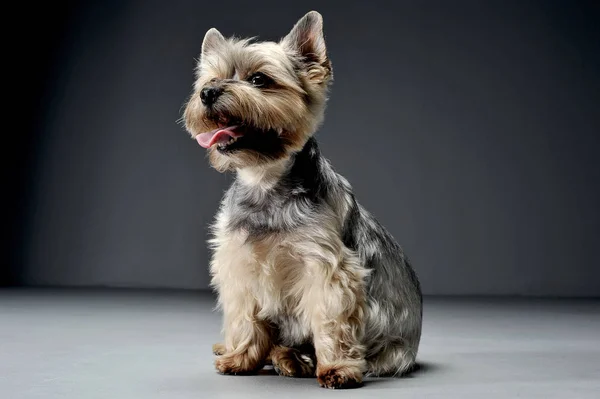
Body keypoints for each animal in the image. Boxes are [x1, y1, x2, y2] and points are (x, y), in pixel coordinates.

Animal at [183, 10, 422, 390]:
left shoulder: (325, 269)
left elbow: (330, 320)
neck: (265, 181)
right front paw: (240, 357)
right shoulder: (238, 263)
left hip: (389, 353)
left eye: (259, 79)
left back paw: (294, 360)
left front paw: (337, 368)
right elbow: (245, 317)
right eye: (211, 78)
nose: (207, 92)